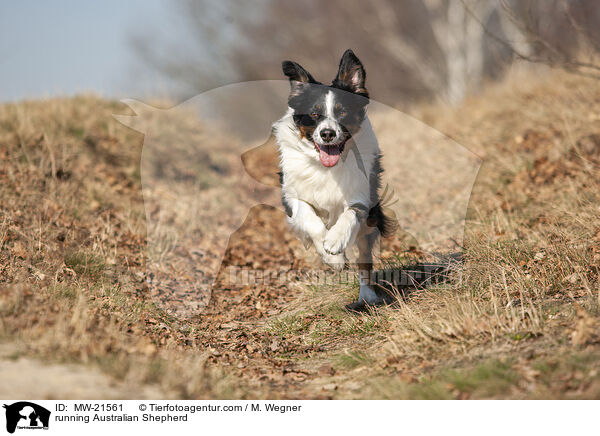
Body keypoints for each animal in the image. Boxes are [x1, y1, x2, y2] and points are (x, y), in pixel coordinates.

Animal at [272, 48, 394, 306]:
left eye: (342, 112)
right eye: (314, 114)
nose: (327, 133)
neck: (327, 167)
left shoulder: (362, 196)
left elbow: (350, 214)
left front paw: (336, 240)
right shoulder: (291, 197)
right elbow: (309, 217)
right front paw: (334, 259)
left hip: (369, 227)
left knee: (364, 261)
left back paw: (367, 296)